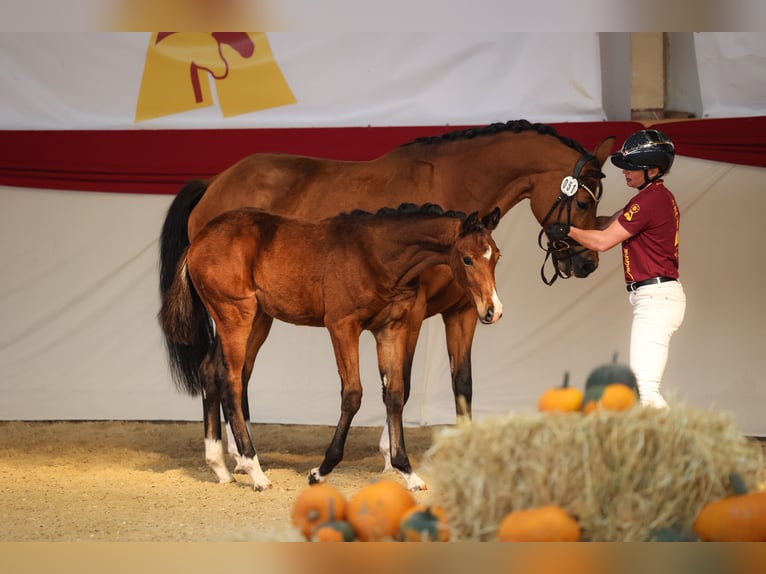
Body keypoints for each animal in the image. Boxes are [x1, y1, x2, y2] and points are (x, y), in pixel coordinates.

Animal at [159, 203, 503, 491]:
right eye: (467, 258)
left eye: (496, 256)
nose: (493, 310)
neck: (376, 255)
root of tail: (197, 241)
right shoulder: (342, 326)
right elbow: (352, 394)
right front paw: (320, 471)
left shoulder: (390, 330)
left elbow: (394, 395)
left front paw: (408, 472)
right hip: (235, 317)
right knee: (229, 379)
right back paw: (255, 471)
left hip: (257, 319)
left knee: (211, 370)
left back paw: (220, 467)